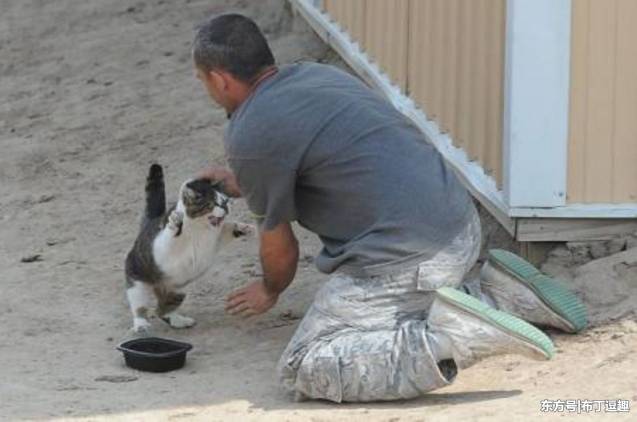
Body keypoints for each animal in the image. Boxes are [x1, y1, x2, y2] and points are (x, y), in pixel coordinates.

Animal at [123, 164, 252, 332]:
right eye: (214, 204)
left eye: (225, 201)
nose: (226, 208)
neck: (201, 228)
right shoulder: (162, 246)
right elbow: (170, 234)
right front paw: (174, 223)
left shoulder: (215, 240)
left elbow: (228, 228)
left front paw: (242, 228)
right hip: (138, 284)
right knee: (140, 308)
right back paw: (141, 325)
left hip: (178, 290)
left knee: (162, 311)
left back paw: (179, 321)